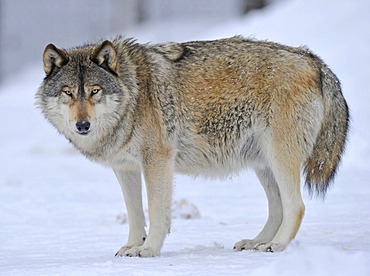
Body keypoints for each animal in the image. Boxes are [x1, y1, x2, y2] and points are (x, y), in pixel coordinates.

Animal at [36, 35, 348, 258]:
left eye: (94, 91)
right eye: (68, 93)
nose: (82, 125)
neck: (132, 94)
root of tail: (313, 60)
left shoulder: (158, 160)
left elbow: (157, 211)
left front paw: (149, 250)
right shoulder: (125, 169)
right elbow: (135, 214)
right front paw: (132, 246)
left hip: (279, 157)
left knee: (296, 206)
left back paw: (277, 245)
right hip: (263, 164)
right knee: (278, 208)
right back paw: (256, 242)